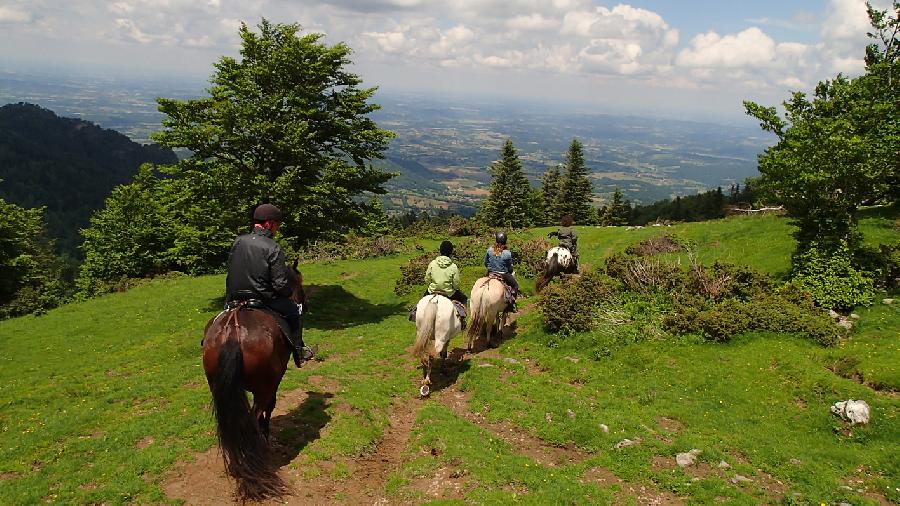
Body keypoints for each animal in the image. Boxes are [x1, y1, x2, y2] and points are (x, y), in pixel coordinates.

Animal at [200, 260, 306, 502]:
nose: (303, 303)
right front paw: (266, 435)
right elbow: (271, 406)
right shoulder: (274, 380)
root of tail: (232, 329)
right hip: (262, 386)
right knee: (252, 417)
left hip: (218, 389)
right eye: (300, 281)